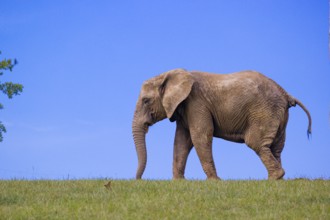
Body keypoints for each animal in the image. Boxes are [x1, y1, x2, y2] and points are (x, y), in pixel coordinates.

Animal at [132, 69, 312, 180]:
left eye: (146, 101)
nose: (138, 179)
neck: (168, 75)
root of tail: (286, 93)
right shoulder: (183, 108)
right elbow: (181, 141)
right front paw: (178, 182)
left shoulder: (196, 103)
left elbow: (200, 136)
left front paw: (215, 181)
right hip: (278, 114)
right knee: (276, 147)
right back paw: (278, 179)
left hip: (264, 111)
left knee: (256, 143)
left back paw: (274, 178)